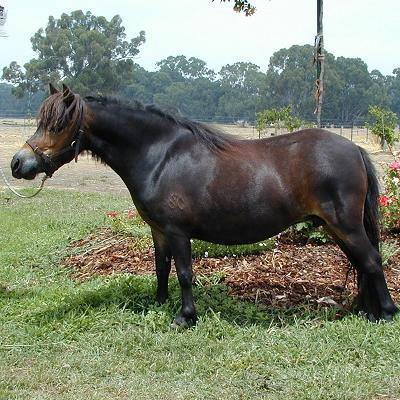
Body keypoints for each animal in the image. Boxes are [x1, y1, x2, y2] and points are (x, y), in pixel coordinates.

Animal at [10, 83, 398, 324]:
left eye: (57, 124)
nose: (18, 163)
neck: (160, 154)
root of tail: (354, 149)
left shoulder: (178, 232)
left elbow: (184, 273)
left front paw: (185, 317)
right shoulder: (159, 231)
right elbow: (162, 268)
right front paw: (159, 302)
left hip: (346, 226)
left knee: (372, 261)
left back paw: (386, 312)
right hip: (336, 228)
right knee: (362, 264)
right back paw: (365, 310)